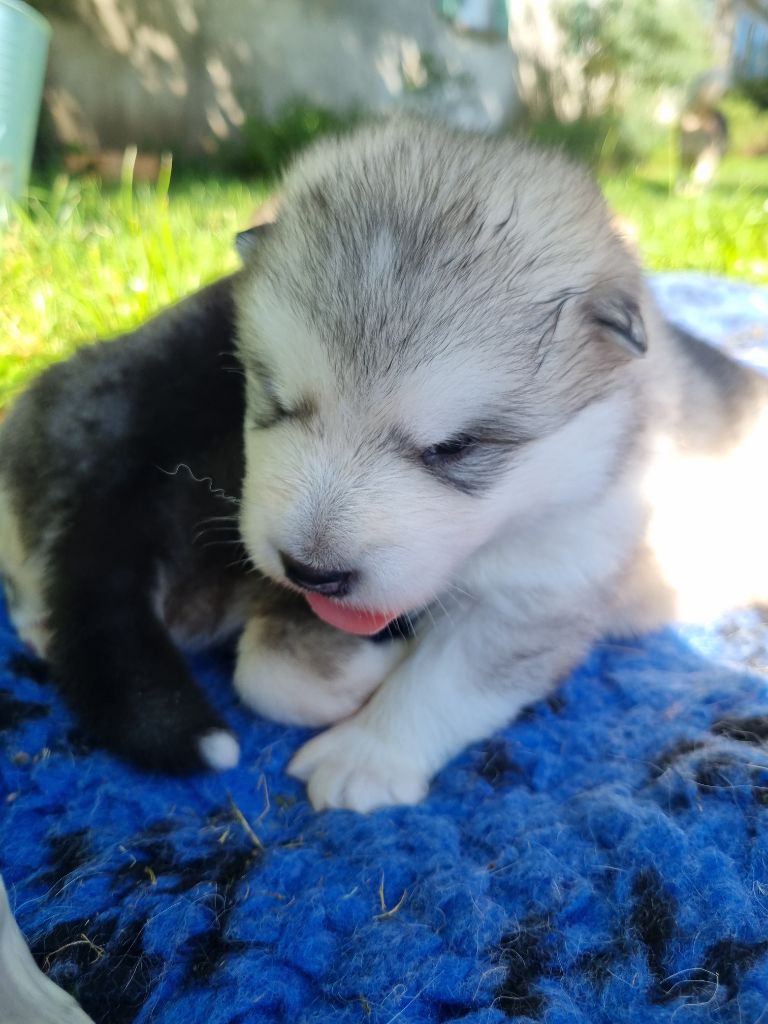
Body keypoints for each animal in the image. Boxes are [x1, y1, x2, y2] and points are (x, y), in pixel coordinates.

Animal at [2, 119, 767, 810]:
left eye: (453, 448)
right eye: (276, 401)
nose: (312, 572)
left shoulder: (548, 580)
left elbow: (449, 677)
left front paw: (368, 754)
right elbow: (275, 673)